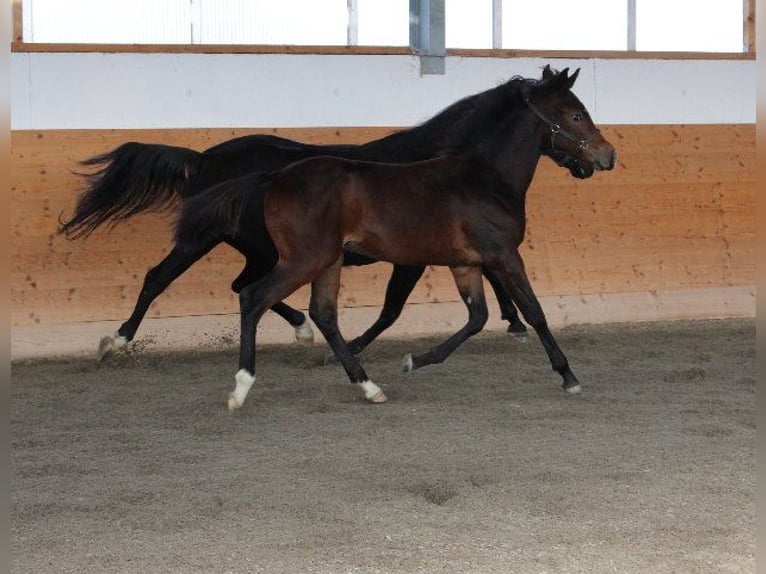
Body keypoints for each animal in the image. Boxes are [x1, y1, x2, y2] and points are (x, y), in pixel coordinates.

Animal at [58, 65, 594, 362]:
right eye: (573, 114)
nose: (598, 160)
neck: (446, 160)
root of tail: (204, 159)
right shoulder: (414, 257)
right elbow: (394, 309)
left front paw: (514, 321)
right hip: (204, 239)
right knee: (159, 277)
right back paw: (117, 342)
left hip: (261, 249)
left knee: (244, 286)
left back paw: (300, 328)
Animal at [174, 67, 616, 411]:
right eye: (576, 114)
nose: (607, 156)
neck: (484, 176)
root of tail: (274, 177)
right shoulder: (503, 255)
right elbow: (533, 311)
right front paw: (568, 375)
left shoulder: (466, 263)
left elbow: (477, 318)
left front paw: (415, 360)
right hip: (304, 259)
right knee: (254, 297)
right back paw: (241, 387)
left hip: (328, 261)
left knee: (324, 314)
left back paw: (369, 386)